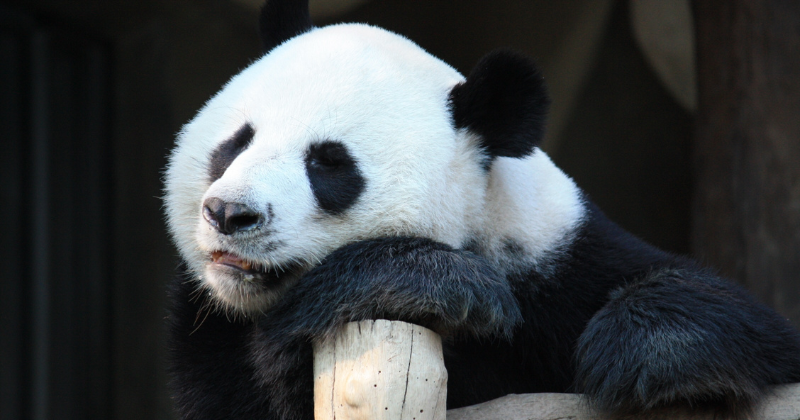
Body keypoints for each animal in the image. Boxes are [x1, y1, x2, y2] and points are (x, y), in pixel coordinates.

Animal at [162, 0, 800, 420]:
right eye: (236, 143)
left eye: (328, 164)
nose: (230, 213)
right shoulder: (206, 329)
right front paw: (433, 283)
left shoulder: (558, 260)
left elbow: (740, 320)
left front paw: (640, 352)